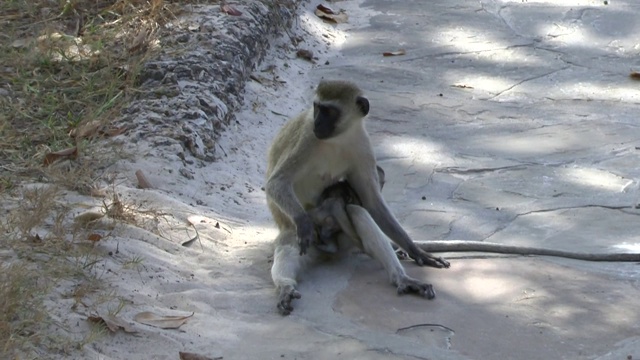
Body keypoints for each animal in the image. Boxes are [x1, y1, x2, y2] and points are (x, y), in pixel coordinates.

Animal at [264, 79, 450, 316]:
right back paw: (285, 286)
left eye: (329, 111)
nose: (317, 122)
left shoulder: (362, 146)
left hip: (344, 239)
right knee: (289, 246)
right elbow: (276, 183)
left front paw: (415, 250)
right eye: (317, 107)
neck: (339, 139)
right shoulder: (307, 139)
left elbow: (372, 202)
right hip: (299, 233)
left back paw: (402, 278)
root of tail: (329, 249)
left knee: (359, 213)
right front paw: (303, 222)